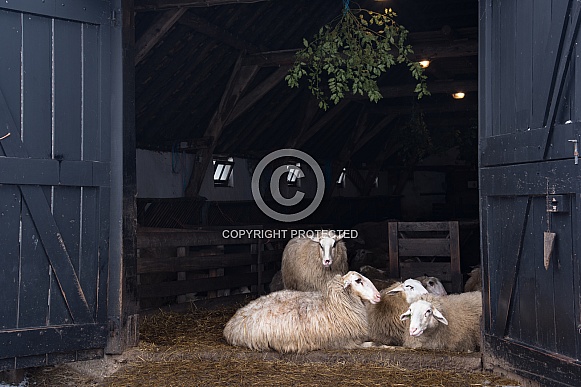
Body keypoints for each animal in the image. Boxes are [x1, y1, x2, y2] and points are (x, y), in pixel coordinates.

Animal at [222, 270, 380, 354]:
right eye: (358, 280)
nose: (378, 296)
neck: (334, 305)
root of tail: (230, 325)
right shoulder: (345, 343)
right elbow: (375, 344)